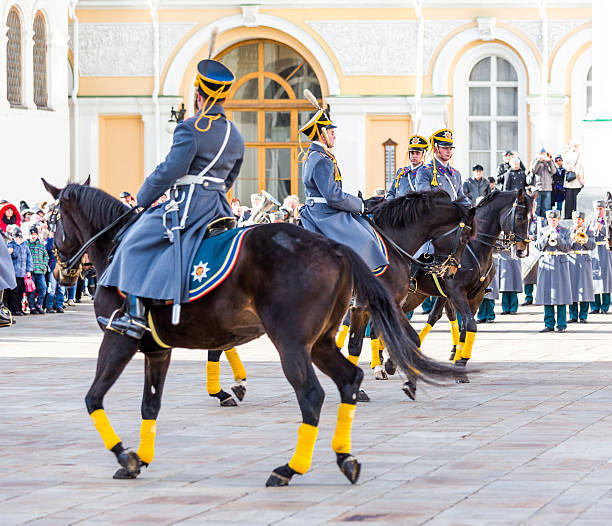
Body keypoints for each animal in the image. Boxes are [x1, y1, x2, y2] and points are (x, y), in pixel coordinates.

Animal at [43, 179, 460, 488]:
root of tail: (334, 248)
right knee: (335, 378)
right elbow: (145, 403)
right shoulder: (151, 346)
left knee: (314, 391)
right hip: (302, 339)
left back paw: (292, 464)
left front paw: (128, 456)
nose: (62, 271)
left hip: (291, 340)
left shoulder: (122, 338)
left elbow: (96, 398)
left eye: (55, 220)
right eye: (462, 229)